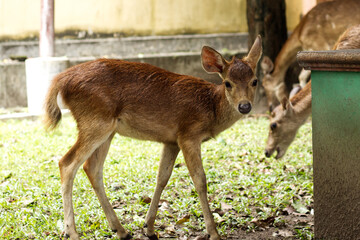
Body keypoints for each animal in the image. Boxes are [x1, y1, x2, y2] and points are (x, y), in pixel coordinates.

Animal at [45, 36, 262, 240]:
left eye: (255, 81)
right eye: (228, 83)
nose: (245, 106)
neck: (211, 108)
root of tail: (60, 79)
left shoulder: (171, 141)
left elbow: (162, 177)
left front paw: (149, 228)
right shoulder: (188, 134)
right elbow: (200, 180)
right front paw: (214, 233)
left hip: (105, 129)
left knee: (92, 168)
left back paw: (121, 230)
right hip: (95, 122)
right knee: (67, 163)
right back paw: (72, 232)